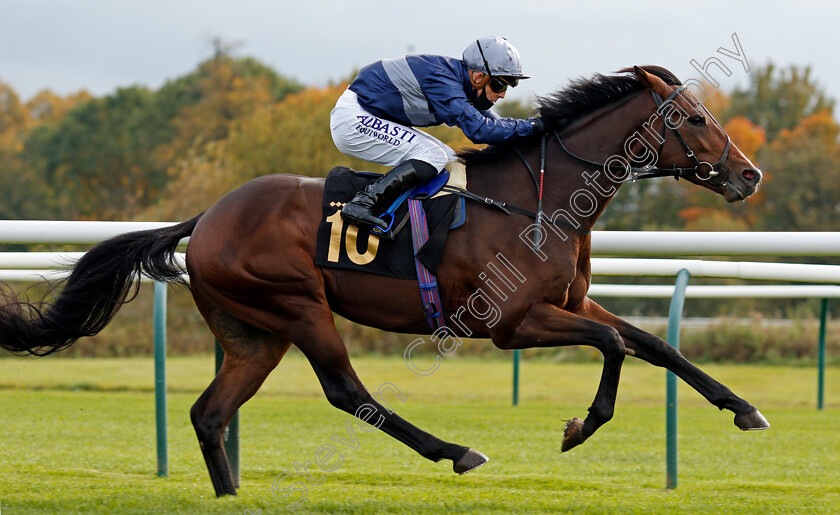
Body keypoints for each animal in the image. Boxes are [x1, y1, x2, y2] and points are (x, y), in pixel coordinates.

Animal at [0, 64, 768, 496]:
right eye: (694, 118)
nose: (750, 174)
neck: (540, 196)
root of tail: (208, 216)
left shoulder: (569, 302)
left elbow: (654, 343)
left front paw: (744, 408)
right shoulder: (509, 324)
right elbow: (614, 347)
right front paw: (581, 428)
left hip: (253, 333)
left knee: (211, 414)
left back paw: (230, 493)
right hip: (298, 306)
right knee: (348, 392)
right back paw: (457, 451)